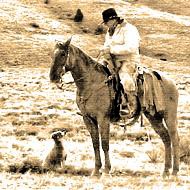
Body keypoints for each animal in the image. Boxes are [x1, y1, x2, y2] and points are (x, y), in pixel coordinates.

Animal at [49, 38, 180, 178]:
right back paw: (165, 171)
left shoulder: (103, 118)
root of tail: (171, 81)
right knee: (166, 138)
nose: (53, 77)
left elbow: (105, 144)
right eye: (52, 54)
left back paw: (175, 171)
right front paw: (96, 171)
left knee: (174, 138)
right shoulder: (88, 119)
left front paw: (107, 170)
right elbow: (95, 144)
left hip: (169, 116)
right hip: (153, 117)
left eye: (63, 54)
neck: (92, 82)